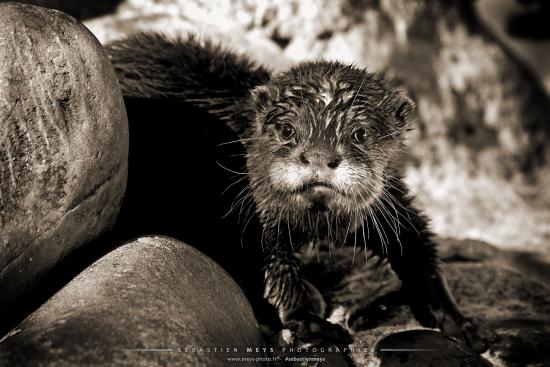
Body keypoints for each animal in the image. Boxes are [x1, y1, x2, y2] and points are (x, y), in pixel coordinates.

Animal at [105, 32, 490, 354]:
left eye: (360, 133)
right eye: (288, 130)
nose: (319, 157)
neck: (317, 227)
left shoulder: (389, 205)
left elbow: (418, 246)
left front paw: (458, 320)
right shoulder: (256, 218)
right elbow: (275, 271)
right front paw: (313, 324)